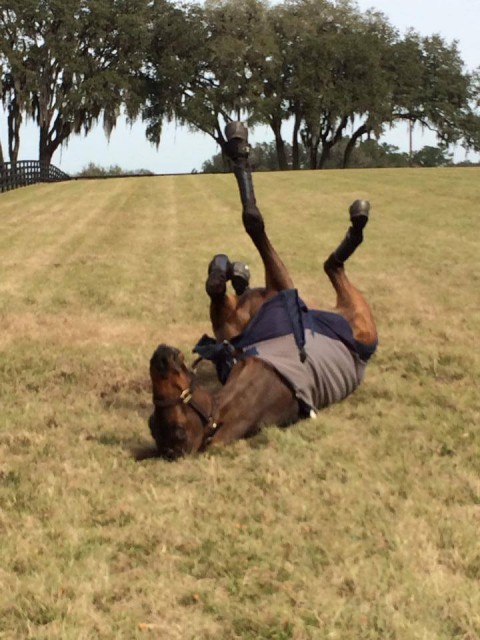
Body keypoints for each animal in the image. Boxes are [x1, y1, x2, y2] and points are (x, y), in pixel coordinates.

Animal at [148, 121, 376, 460]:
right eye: (173, 428)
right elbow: (253, 219)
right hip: (359, 317)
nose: (161, 356)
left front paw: (223, 268)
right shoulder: (282, 291)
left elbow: (218, 283)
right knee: (329, 265)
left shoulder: (236, 327)